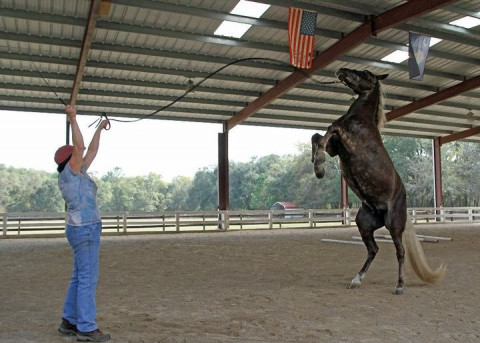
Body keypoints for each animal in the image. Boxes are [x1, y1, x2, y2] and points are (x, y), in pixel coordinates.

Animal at [312, 68, 446, 296]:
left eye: (365, 74)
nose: (341, 71)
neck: (361, 121)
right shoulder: (335, 149)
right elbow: (317, 136)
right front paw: (317, 166)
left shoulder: (348, 142)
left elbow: (331, 129)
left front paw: (319, 167)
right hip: (364, 223)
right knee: (374, 249)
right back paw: (356, 280)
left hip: (393, 225)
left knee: (400, 252)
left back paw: (399, 286)